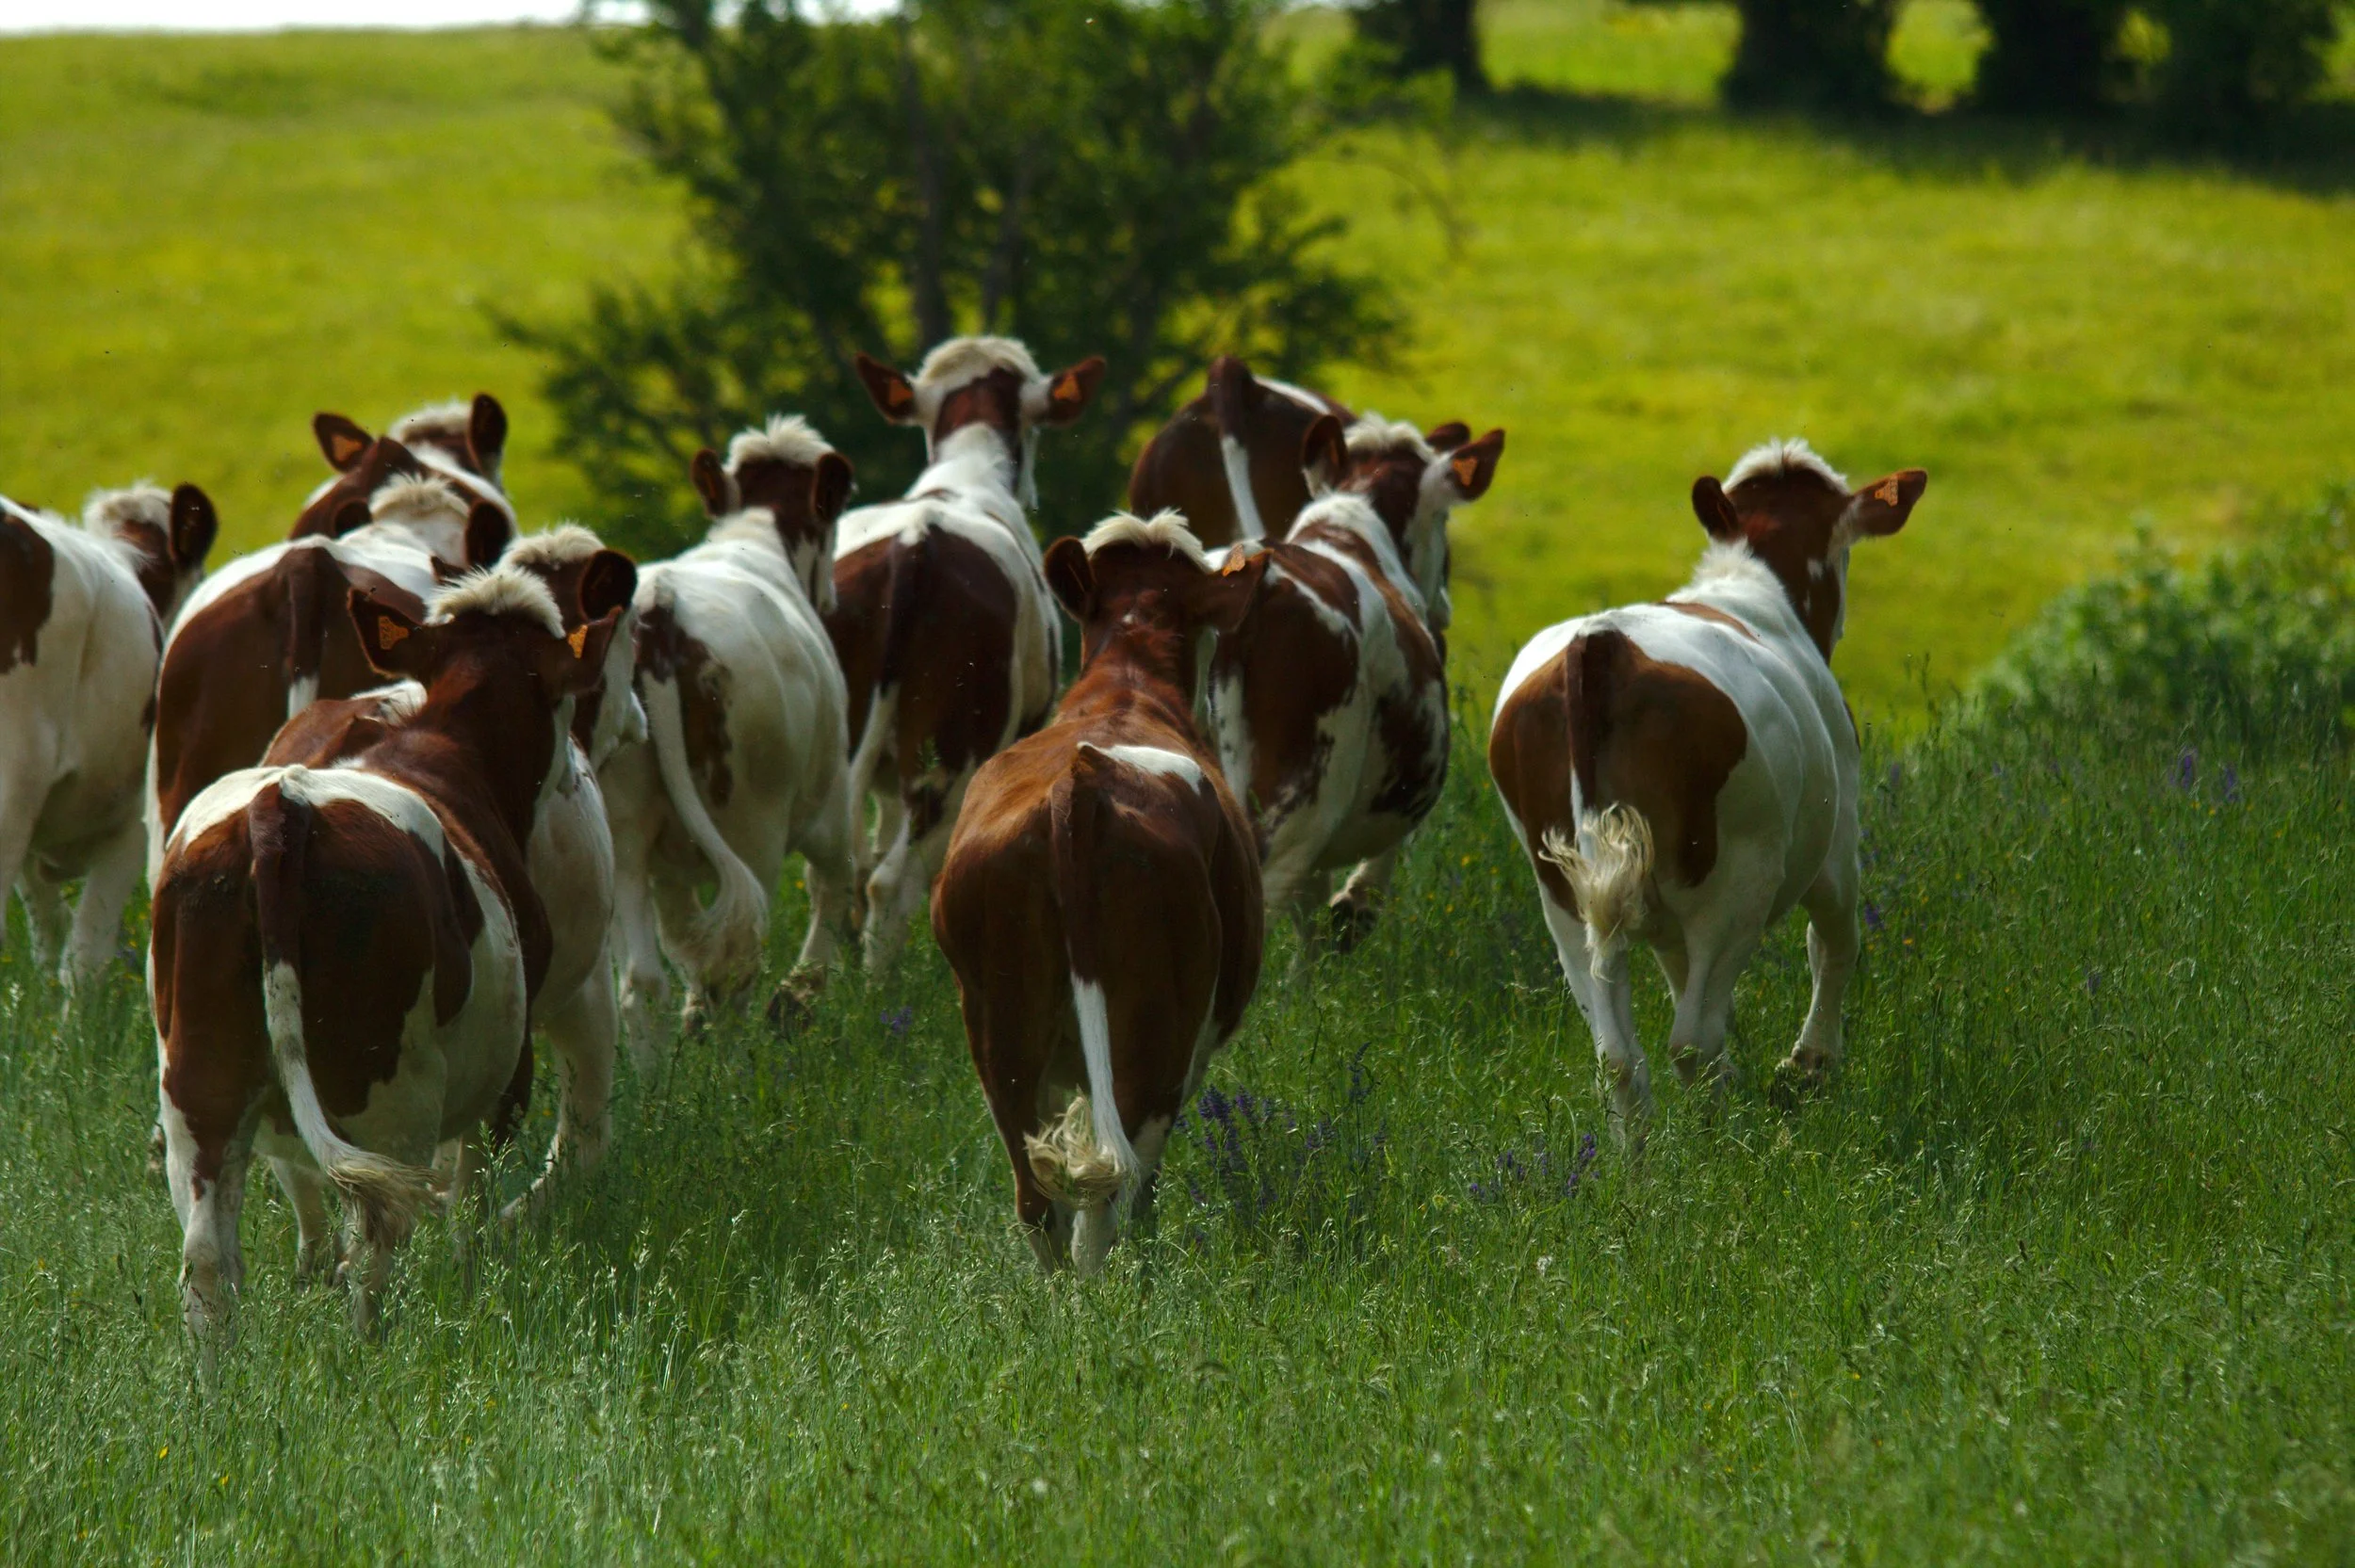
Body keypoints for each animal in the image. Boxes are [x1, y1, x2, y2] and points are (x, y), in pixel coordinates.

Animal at [151, 565, 621, 1349]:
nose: (576, 777)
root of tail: (280, 808)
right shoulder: (509, 1073)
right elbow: (467, 1206)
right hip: (388, 1093)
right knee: (370, 1252)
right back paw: (367, 1359)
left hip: (200, 1085)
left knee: (210, 1263)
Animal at [605, 419, 858, 1054]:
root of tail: (657, 608)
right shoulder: (833, 803)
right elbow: (832, 886)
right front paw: (798, 1001)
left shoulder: (667, 865)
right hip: (756, 825)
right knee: (739, 962)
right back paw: (737, 1066)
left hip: (621, 834)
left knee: (644, 980)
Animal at [933, 513, 1268, 1275]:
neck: (1127, 684)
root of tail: (1078, 783)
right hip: (1157, 1028)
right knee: (1116, 1191)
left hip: (998, 1022)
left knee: (1039, 1193)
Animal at [1487, 439, 1926, 1142]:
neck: (1747, 581)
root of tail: (1601, 643)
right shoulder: (1837, 839)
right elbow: (1835, 943)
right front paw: (1811, 1065)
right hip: (1739, 880)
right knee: (1693, 1040)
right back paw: (1720, 1143)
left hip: (1562, 893)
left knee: (1620, 1056)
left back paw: (1640, 1163)